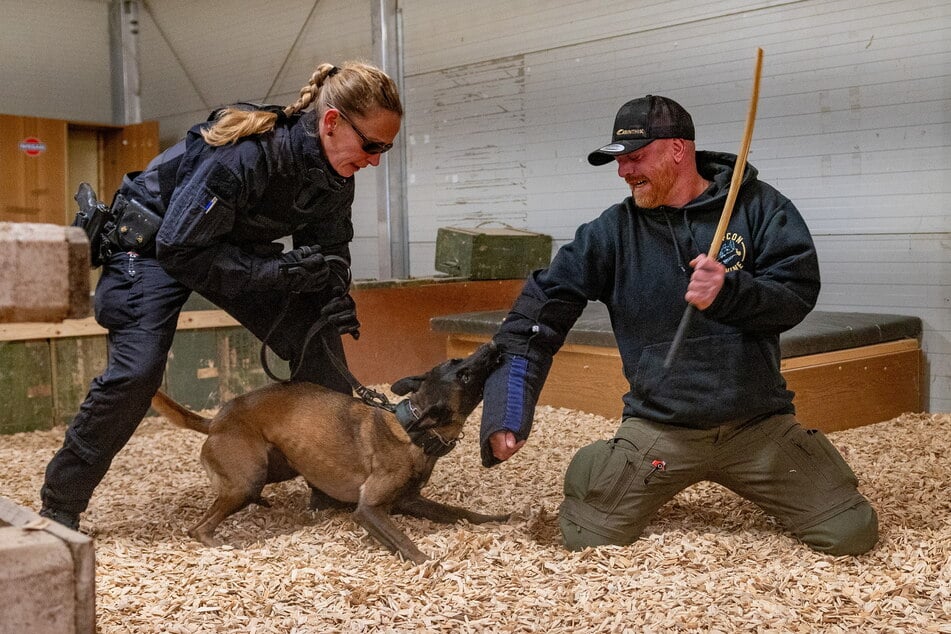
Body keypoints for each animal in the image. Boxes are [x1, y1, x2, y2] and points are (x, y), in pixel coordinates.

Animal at [151, 344, 506, 560]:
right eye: (464, 374)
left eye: (458, 363)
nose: (492, 347)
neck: (412, 432)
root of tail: (216, 421)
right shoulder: (368, 509)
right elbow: (404, 542)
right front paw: (428, 563)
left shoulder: (410, 500)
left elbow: (460, 512)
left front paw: (496, 519)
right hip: (248, 478)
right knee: (197, 528)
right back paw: (220, 542)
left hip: (278, 466)